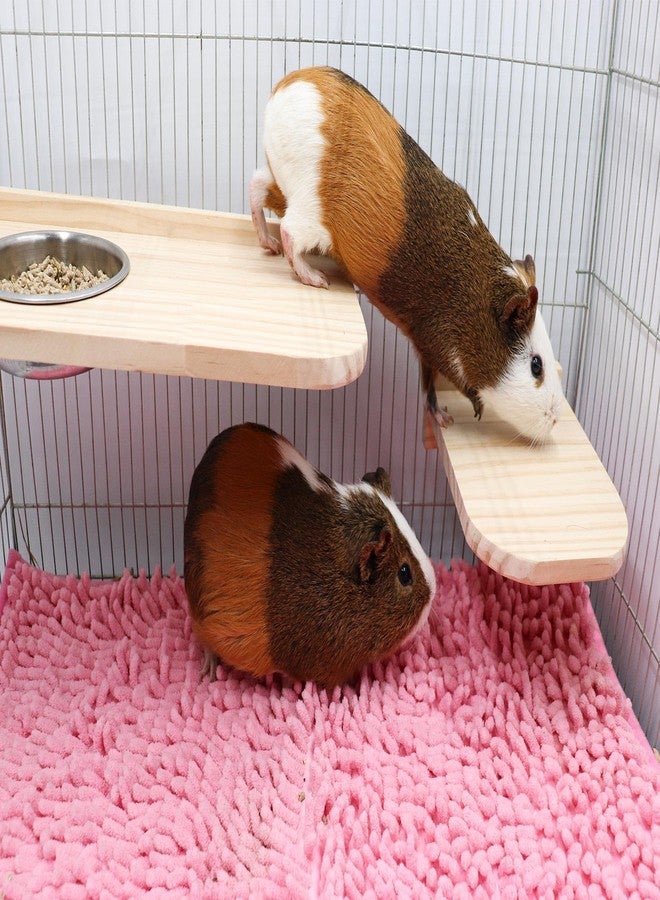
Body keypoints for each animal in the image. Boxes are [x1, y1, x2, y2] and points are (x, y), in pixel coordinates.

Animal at [250, 66, 564, 444]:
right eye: (536, 366)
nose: (557, 418)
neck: (471, 298)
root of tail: (291, 84)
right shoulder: (435, 345)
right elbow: (446, 385)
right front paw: (464, 412)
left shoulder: (426, 349)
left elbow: (427, 388)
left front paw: (444, 418)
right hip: (311, 215)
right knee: (289, 233)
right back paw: (315, 278)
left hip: (281, 185)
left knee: (256, 190)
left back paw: (268, 244)